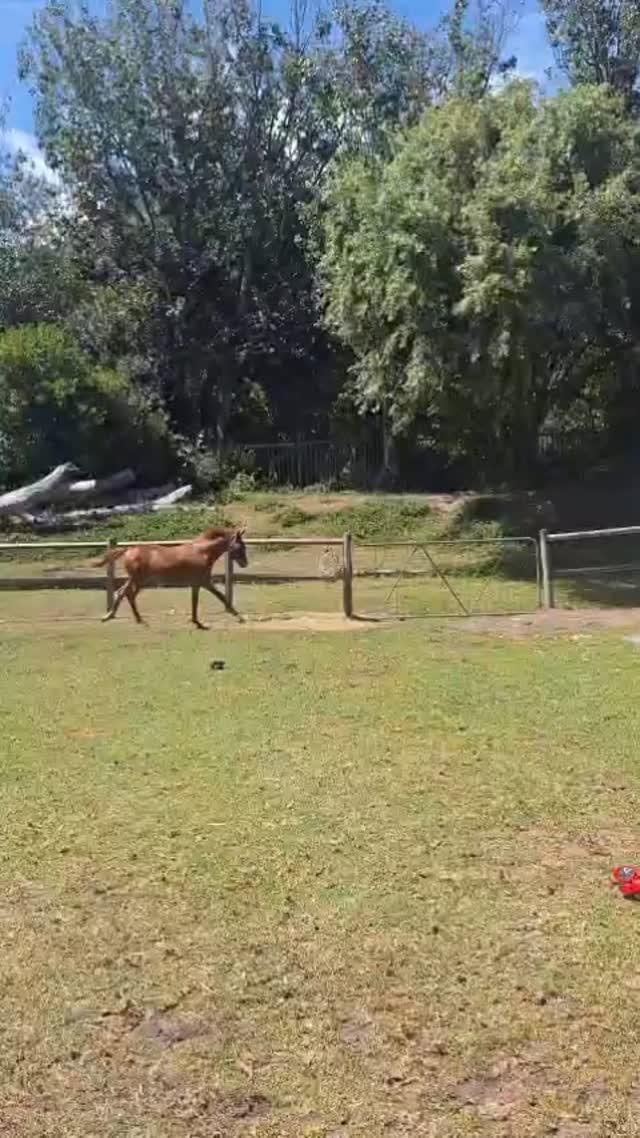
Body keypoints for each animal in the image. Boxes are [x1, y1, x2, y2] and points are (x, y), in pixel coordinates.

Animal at [94, 527, 248, 628]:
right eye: (240, 546)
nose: (245, 564)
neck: (202, 553)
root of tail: (128, 550)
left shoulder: (198, 582)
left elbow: (196, 600)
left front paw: (196, 621)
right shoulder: (203, 581)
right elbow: (221, 597)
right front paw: (239, 617)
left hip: (139, 580)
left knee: (125, 593)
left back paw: (124, 617)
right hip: (137, 579)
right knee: (126, 592)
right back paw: (125, 618)